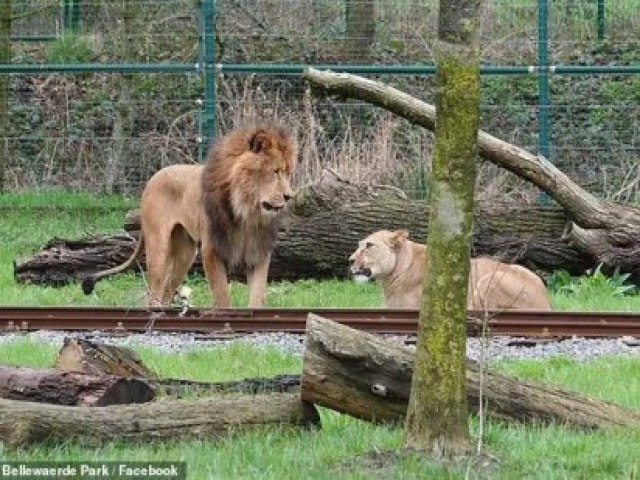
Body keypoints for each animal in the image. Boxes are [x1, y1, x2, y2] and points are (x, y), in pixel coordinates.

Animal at [82, 124, 298, 308]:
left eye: (288, 173)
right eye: (275, 171)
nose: (289, 196)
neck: (247, 212)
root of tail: (153, 177)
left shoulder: (258, 251)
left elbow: (258, 296)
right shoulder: (211, 250)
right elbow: (222, 295)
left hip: (185, 254)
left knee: (167, 292)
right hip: (159, 249)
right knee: (154, 294)